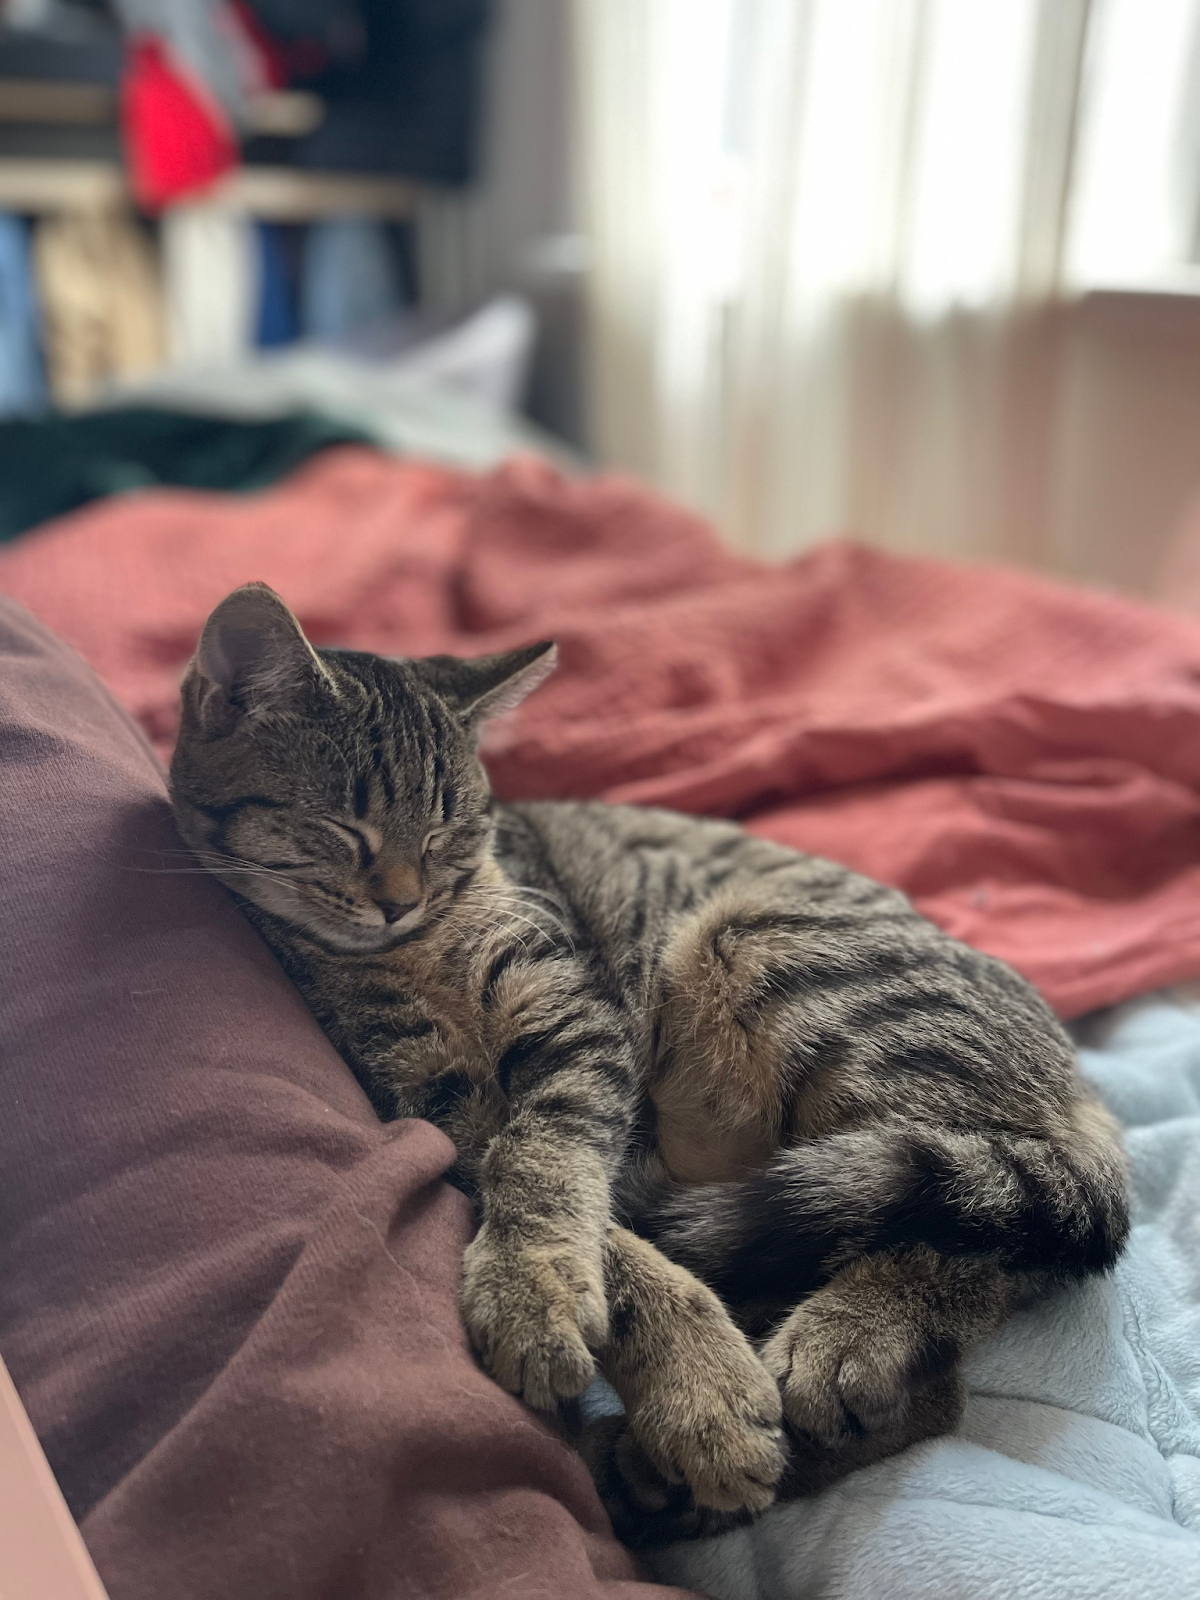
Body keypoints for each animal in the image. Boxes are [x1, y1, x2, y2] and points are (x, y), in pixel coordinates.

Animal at [171, 585, 1139, 1536]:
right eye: (344, 829)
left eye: (452, 835)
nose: (401, 903)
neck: (419, 954)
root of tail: (1081, 1091)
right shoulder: (433, 1101)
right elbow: (588, 1223)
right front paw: (681, 1378)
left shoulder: (577, 1031)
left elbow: (551, 1168)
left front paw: (580, 1320)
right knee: (942, 1316)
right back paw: (660, 1478)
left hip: (780, 956)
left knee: (968, 1242)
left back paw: (837, 1344)